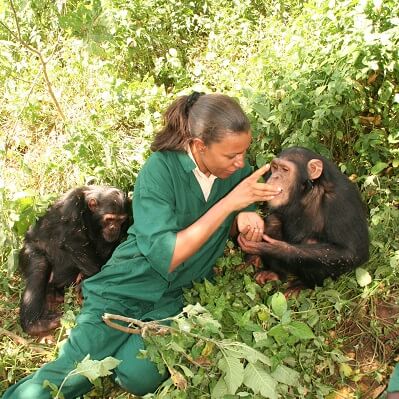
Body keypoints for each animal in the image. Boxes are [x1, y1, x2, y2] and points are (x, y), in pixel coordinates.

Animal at [19, 186, 131, 336]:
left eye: (120, 220)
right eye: (109, 219)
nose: (114, 228)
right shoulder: (72, 206)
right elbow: (74, 241)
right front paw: (91, 285)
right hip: (29, 251)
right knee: (39, 270)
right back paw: (35, 325)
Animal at [238, 146, 372, 288]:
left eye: (285, 169)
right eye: (275, 167)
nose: (275, 176)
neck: (307, 190)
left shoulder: (342, 199)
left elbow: (351, 252)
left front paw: (270, 248)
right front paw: (253, 257)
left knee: (311, 243)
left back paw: (302, 284)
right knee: (274, 221)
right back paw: (274, 273)